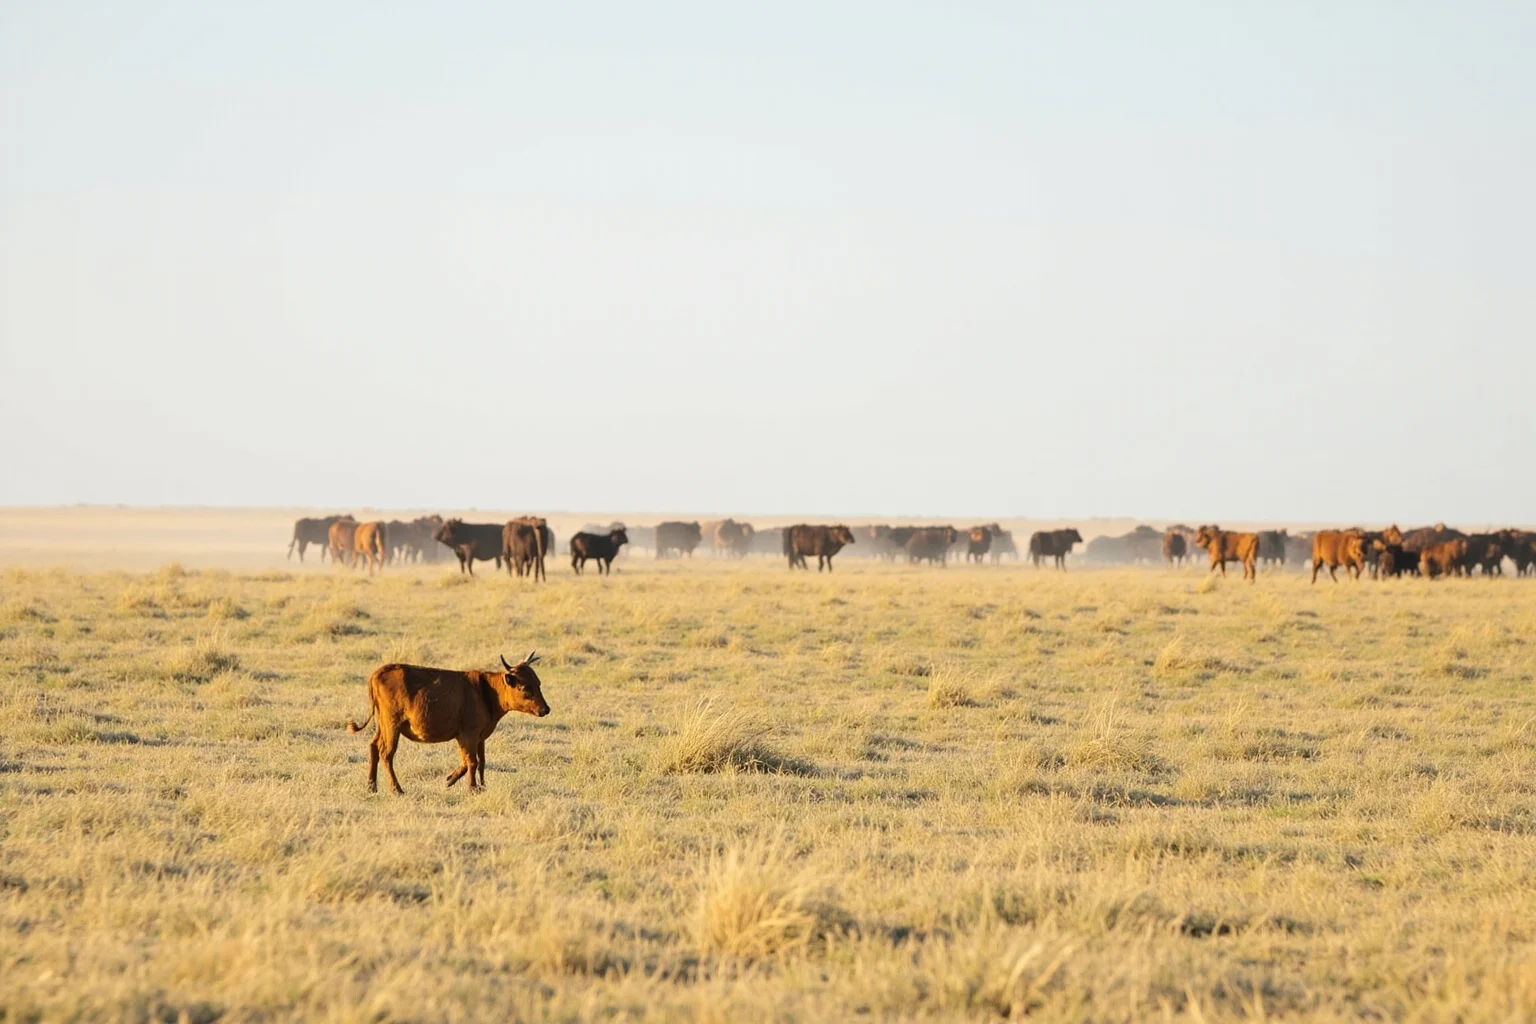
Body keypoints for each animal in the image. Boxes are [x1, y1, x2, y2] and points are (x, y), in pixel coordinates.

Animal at [347, 653, 550, 794]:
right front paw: (472, 788)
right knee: (386, 754)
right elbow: (472, 761)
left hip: (382, 726)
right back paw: (396, 789)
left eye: (539, 683)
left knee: (373, 747)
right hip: (392, 725)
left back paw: (371, 786)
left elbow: (478, 762)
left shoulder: (478, 737)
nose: (545, 709)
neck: (485, 691)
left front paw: (466, 782)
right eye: (525, 688)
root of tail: (378, 673)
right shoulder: (468, 734)